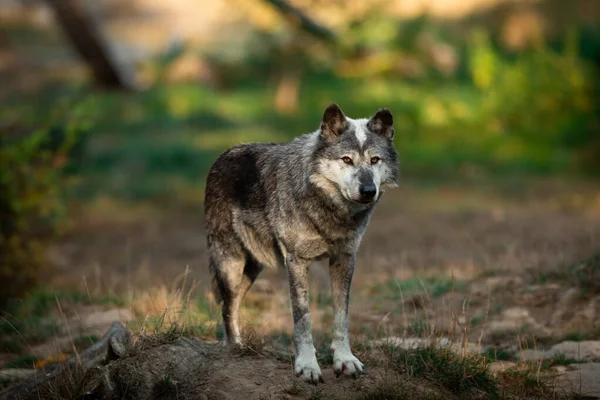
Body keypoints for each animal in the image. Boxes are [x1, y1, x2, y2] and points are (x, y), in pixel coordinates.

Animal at [205, 104, 398, 384]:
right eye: (346, 160)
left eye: (375, 160)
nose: (368, 191)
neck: (329, 211)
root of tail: (225, 153)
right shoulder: (296, 262)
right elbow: (302, 319)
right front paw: (307, 366)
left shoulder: (345, 260)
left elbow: (341, 316)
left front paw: (344, 360)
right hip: (230, 263)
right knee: (228, 304)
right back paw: (233, 348)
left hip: (253, 268)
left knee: (234, 302)